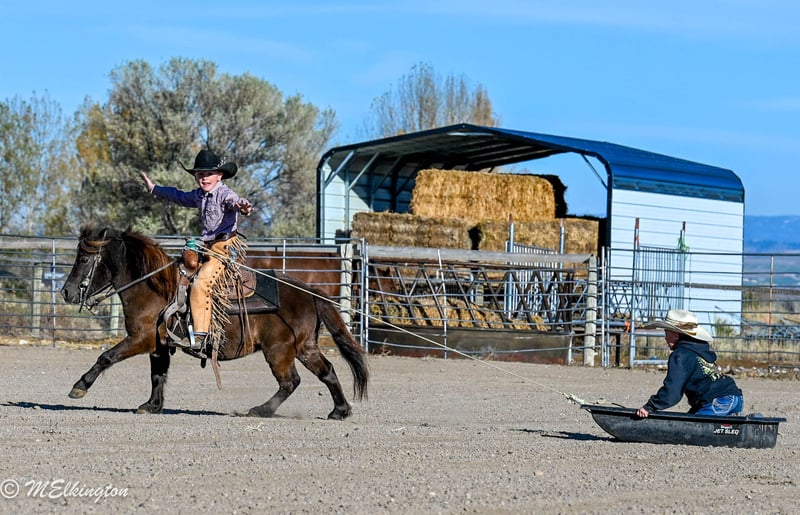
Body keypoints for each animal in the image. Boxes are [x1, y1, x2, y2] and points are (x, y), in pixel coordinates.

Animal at [60, 225, 369, 419]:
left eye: (84, 258)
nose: (66, 292)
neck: (155, 287)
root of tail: (310, 292)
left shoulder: (141, 338)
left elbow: (106, 356)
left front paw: (79, 386)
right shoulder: (159, 345)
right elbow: (158, 375)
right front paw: (152, 405)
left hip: (279, 351)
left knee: (290, 381)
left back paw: (261, 410)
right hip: (304, 347)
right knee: (327, 371)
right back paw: (339, 411)